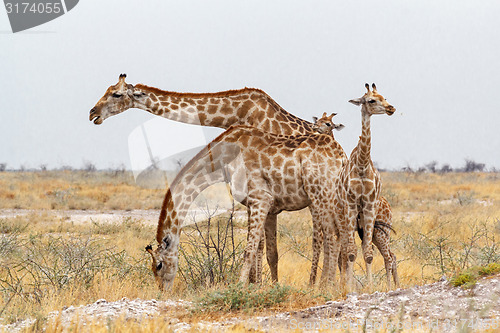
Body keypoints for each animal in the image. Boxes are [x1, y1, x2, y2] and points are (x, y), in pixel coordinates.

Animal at [146, 124, 346, 288]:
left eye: (159, 265)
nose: (162, 291)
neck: (223, 160)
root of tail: (342, 156)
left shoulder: (261, 199)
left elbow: (248, 250)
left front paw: (240, 286)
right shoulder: (261, 206)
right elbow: (269, 252)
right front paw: (267, 287)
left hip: (321, 193)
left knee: (333, 236)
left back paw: (327, 286)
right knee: (334, 236)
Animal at [310, 112, 400, 288]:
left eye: (328, 123)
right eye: (318, 120)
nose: (315, 127)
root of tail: (389, 207)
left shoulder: (340, 225)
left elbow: (344, 253)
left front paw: (341, 285)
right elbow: (342, 253)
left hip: (380, 232)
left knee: (389, 256)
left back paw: (390, 286)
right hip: (373, 233)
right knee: (390, 255)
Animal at [336, 83, 394, 290]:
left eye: (384, 97)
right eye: (371, 100)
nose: (391, 108)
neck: (361, 164)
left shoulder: (369, 206)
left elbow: (368, 254)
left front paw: (369, 287)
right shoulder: (351, 205)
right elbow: (352, 252)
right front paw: (350, 287)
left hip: (370, 226)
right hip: (346, 220)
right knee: (347, 250)